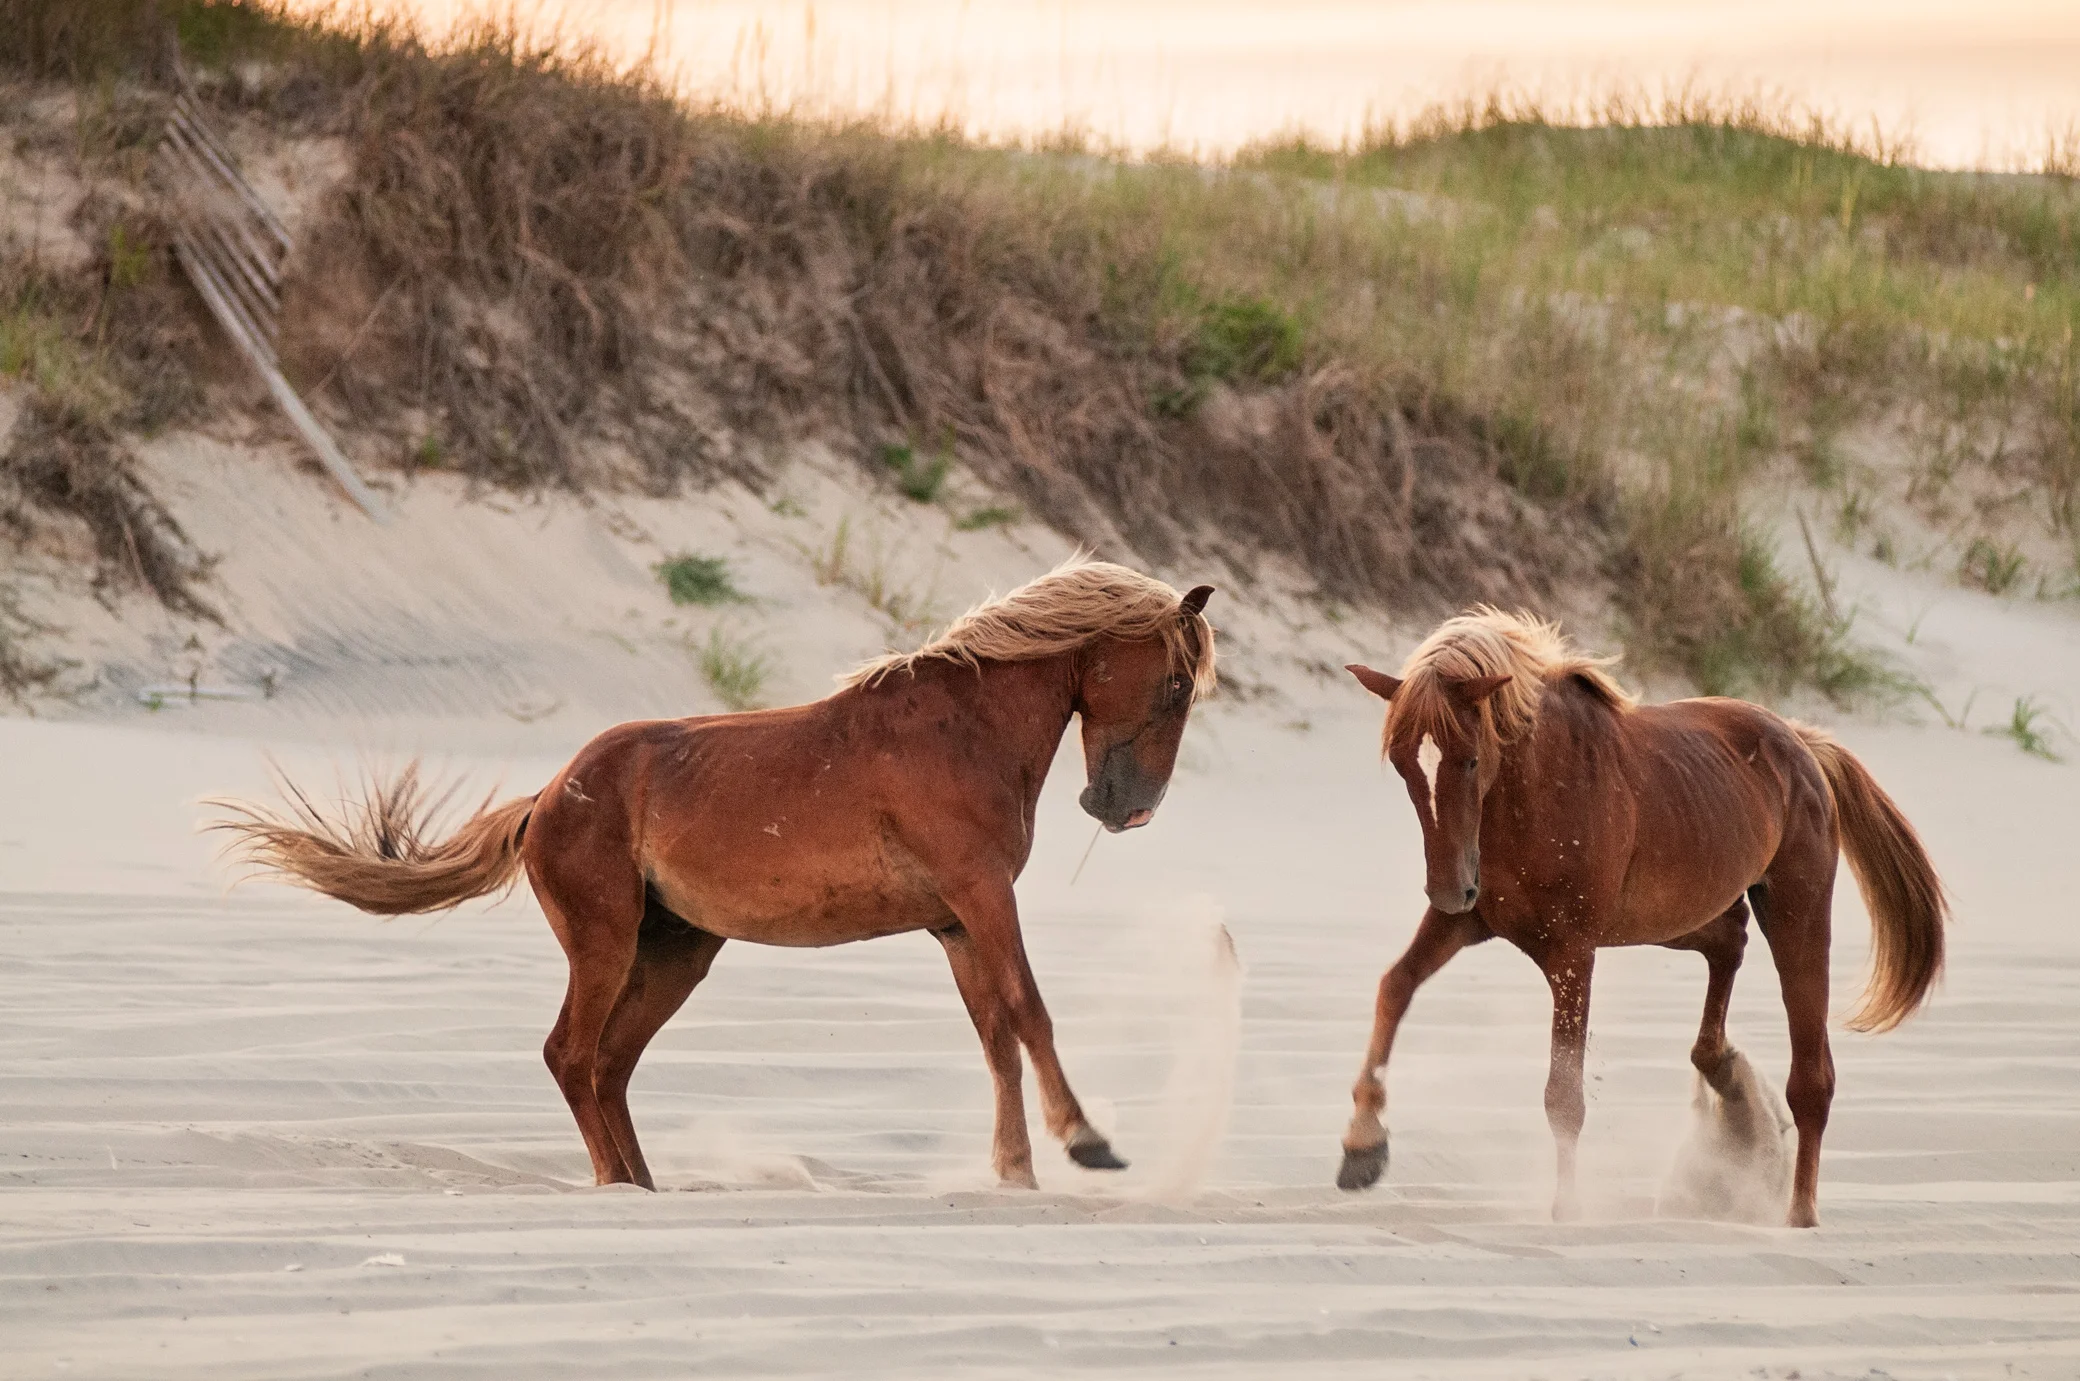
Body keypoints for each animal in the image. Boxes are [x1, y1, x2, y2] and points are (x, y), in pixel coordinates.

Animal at [214, 557, 1217, 1191]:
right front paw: (1088, 1144)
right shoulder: (982, 899)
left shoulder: (959, 922)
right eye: (1175, 685)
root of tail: (549, 794)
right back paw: (620, 1187)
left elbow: (997, 1037)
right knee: (571, 1055)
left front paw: (1015, 1173)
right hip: (607, 944)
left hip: (675, 953)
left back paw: (645, 1182)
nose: (1124, 808)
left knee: (607, 1064)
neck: (964, 729)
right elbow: (1031, 1014)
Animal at [1337, 608, 1946, 1227]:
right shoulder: (1464, 924)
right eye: (1404, 765)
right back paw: (1725, 1076)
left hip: (1797, 911)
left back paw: (1799, 1213)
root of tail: (1801, 741)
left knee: (1812, 1077)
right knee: (1729, 945)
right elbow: (1395, 988)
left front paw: (1566, 1207)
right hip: (1674, 917)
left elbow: (1563, 1093)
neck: (1534, 791)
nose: (1449, 889)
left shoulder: (1572, 952)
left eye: (1471, 759)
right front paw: (1363, 1146)